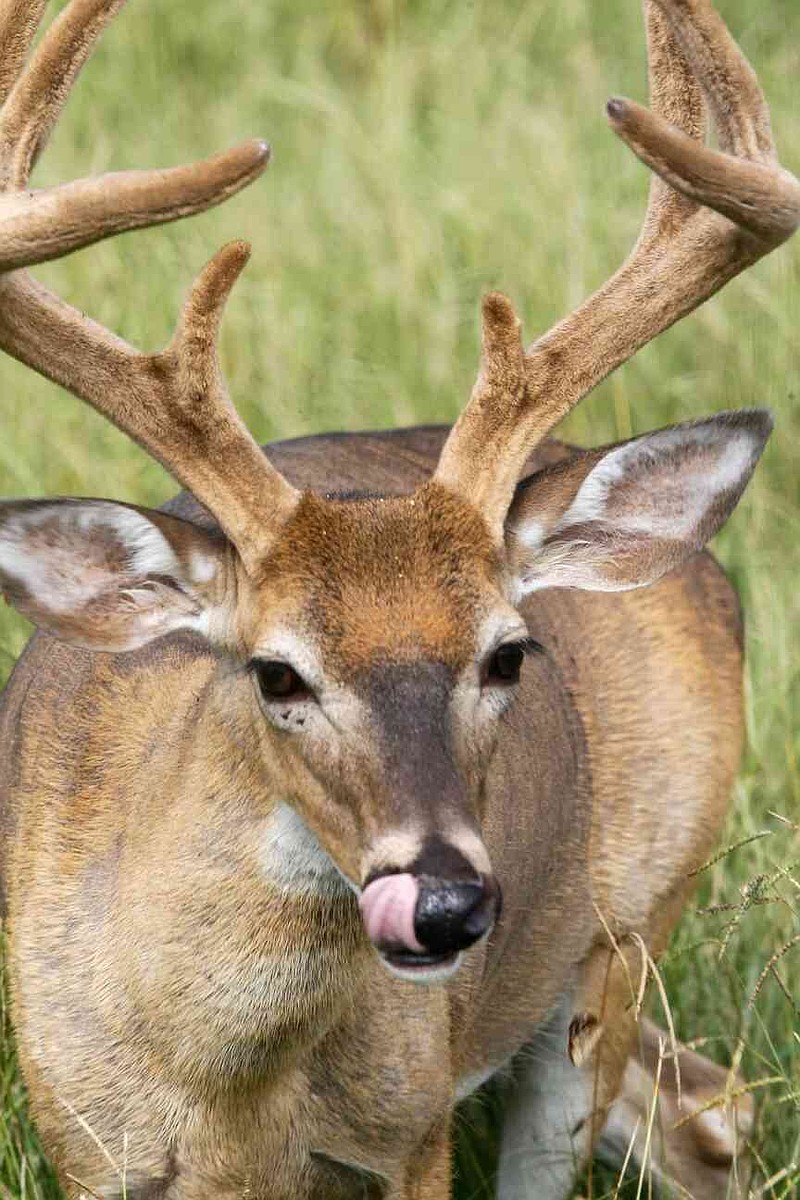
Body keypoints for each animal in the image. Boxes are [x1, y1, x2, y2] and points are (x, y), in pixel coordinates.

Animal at [0, 0, 797, 1196]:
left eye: (508, 653)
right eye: (276, 673)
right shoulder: (80, 1141)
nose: (446, 904)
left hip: (619, 937)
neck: (228, 1102)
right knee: (710, 1107)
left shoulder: (412, 1129)